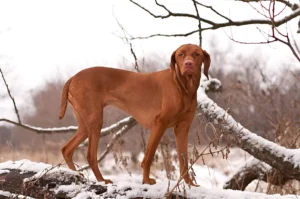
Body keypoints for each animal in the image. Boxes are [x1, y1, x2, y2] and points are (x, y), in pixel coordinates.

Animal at [59, 43, 211, 185]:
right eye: (181, 54)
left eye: (197, 54)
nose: (188, 64)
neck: (183, 87)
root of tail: (73, 77)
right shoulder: (159, 124)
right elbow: (148, 156)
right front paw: (146, 180)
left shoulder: (182, 128)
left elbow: (183, 160)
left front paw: (189, 184)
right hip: (95, 121)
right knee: (90, 155)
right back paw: (102, 180)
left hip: (85, 125)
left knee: (67, 149)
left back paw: (76, 175)